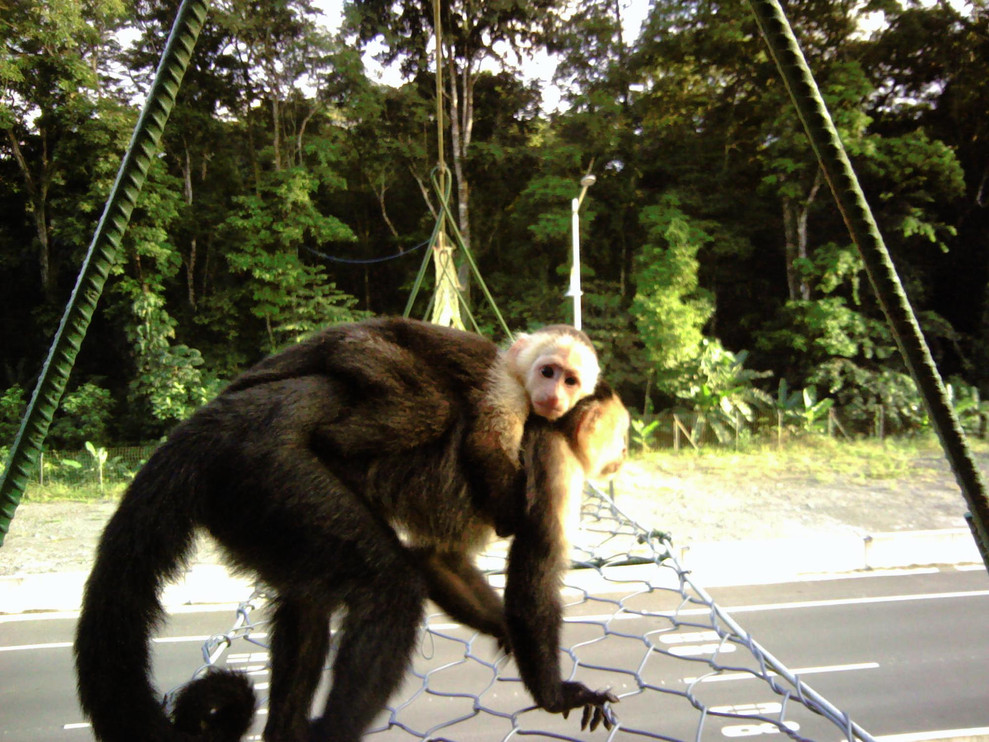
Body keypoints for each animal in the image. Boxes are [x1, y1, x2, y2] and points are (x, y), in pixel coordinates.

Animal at [73, 317, 611, 742]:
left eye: (571, 380)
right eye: (549, 372)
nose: (553, 396)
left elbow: (439, 561)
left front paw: (505, 632)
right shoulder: (536, 431)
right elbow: (529, 571)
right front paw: (554, 693)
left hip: (253, 511)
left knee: (311, 597)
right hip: (268, 470)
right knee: (391, 583)